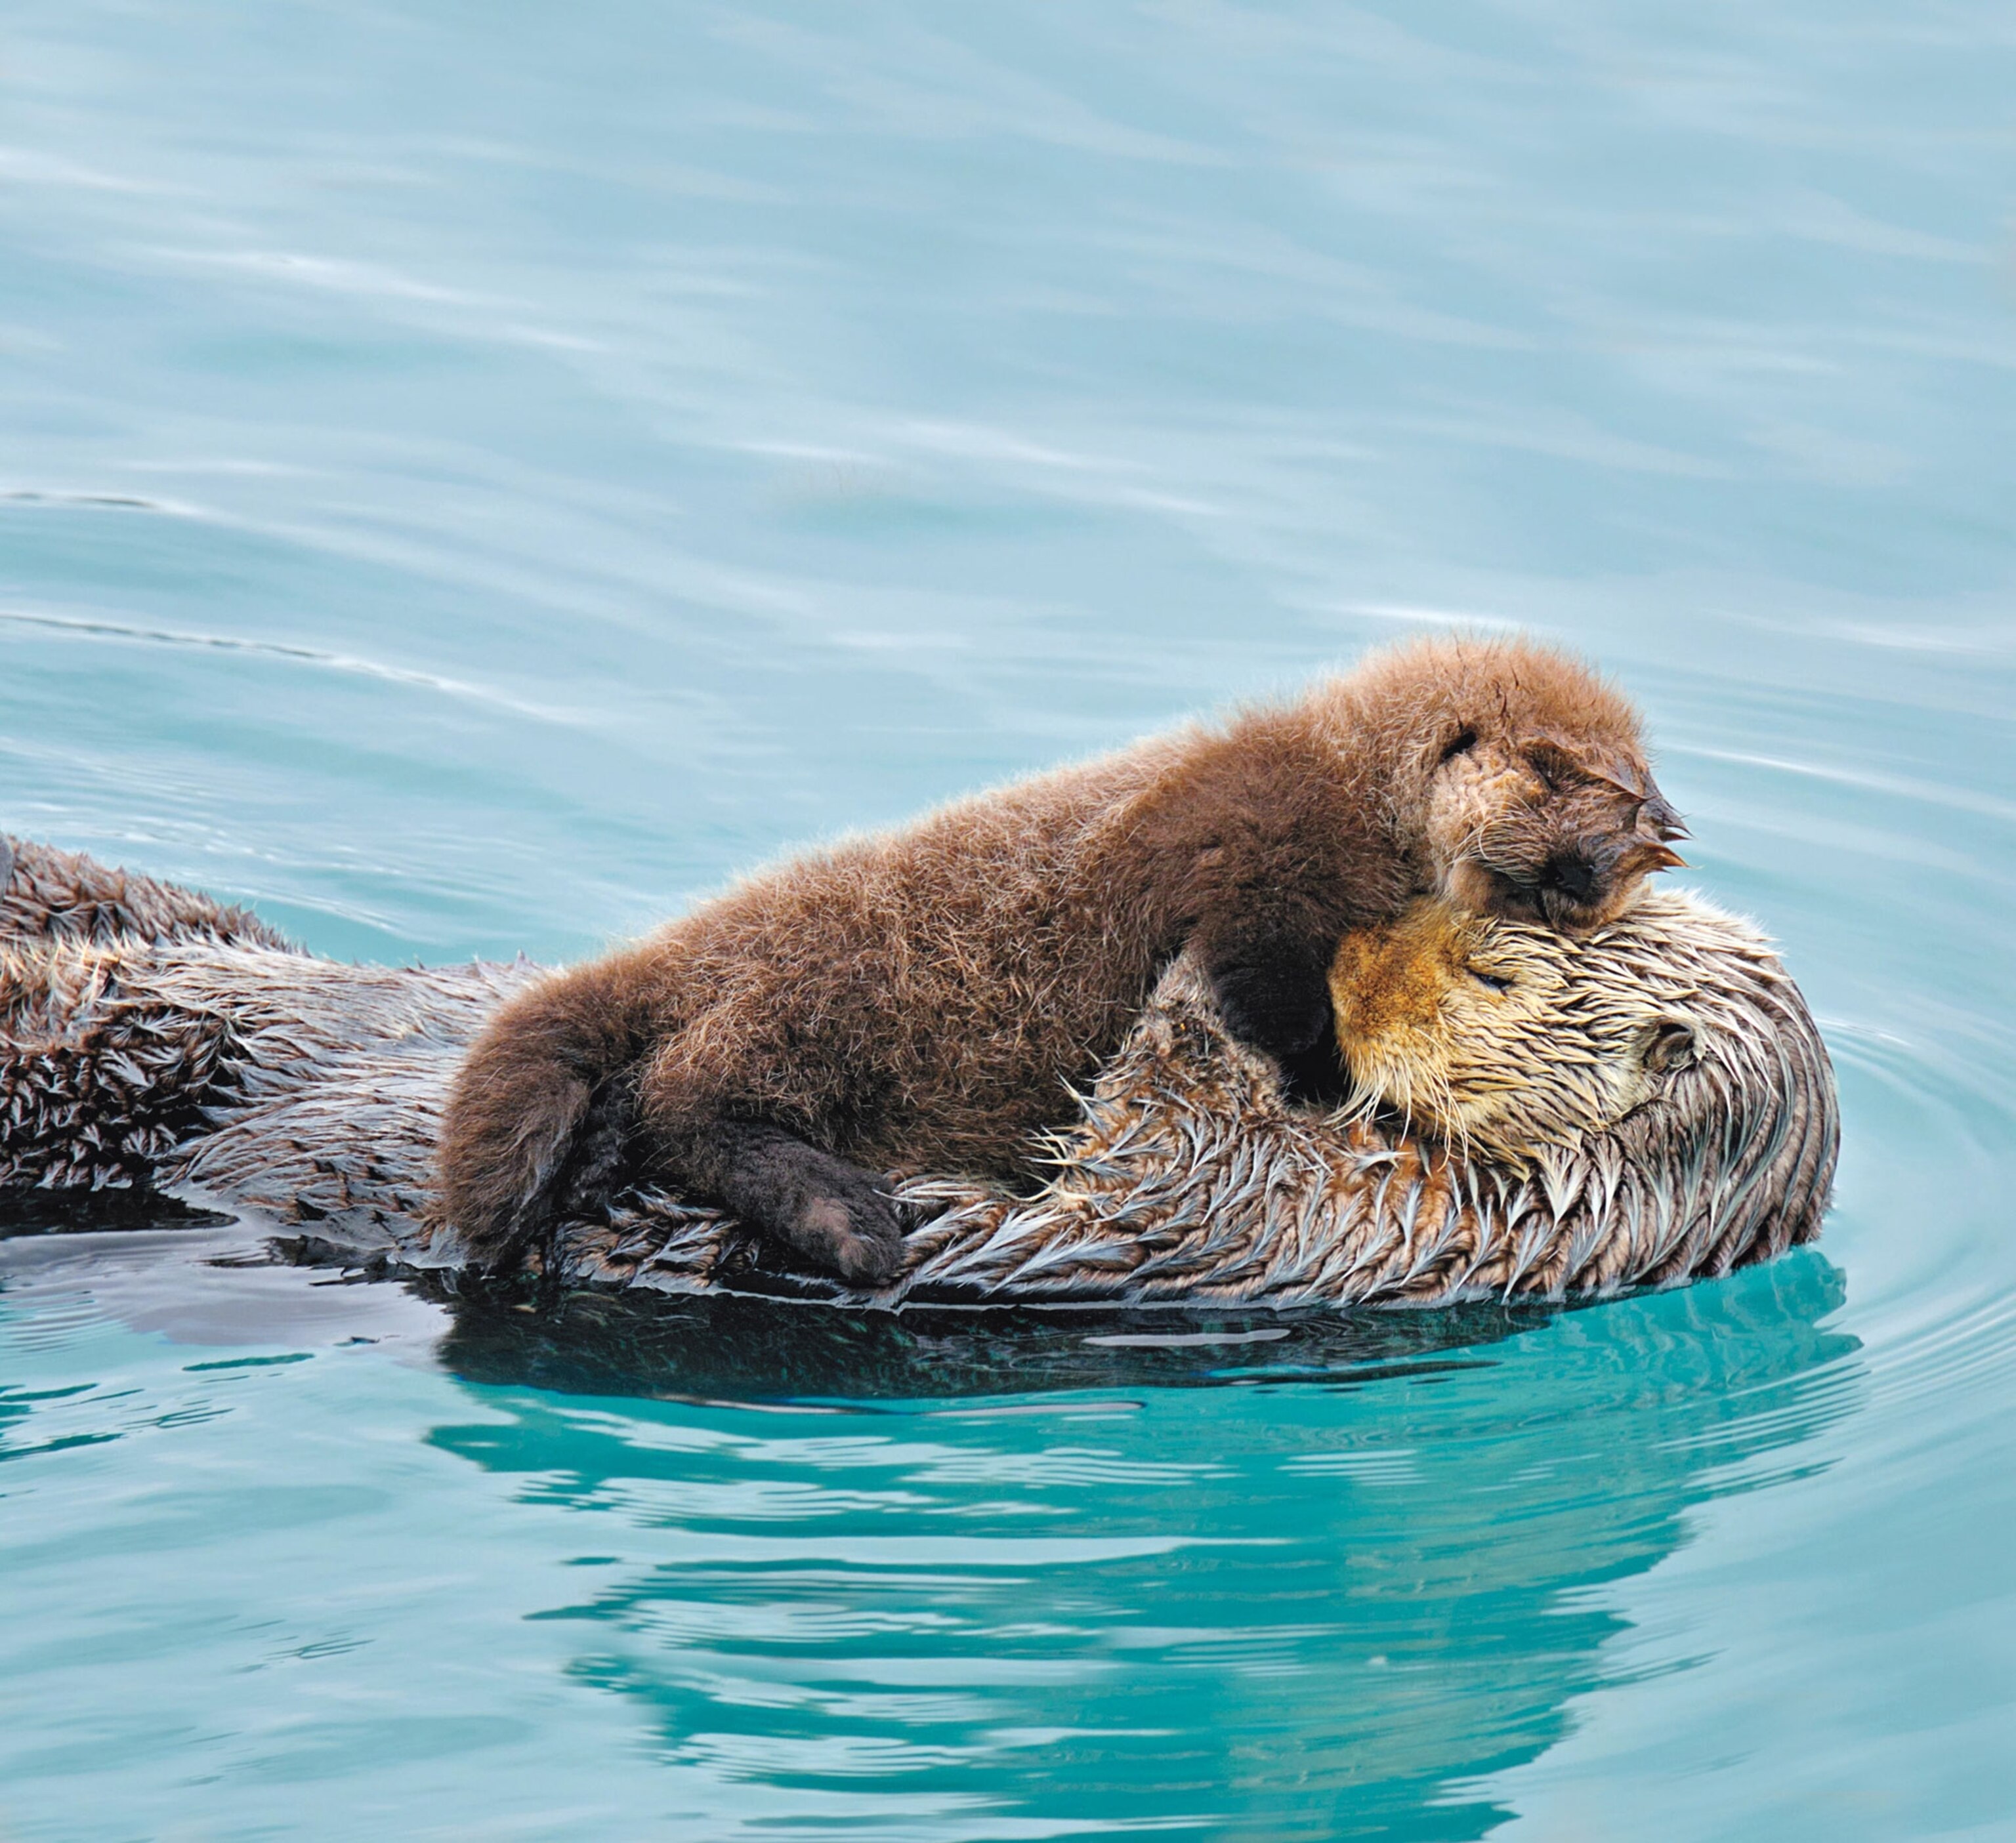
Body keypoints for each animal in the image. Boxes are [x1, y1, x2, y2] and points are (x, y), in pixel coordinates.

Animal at [437, 637, 1685, 1284]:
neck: (1360, 793)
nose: (1646, 828)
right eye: (1561, 772)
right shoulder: (1264, 854)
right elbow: (1271, 986)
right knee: (689, 1099)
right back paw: (846, 1218)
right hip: (828, 995)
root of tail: (694, 950)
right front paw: (1329, 1077)